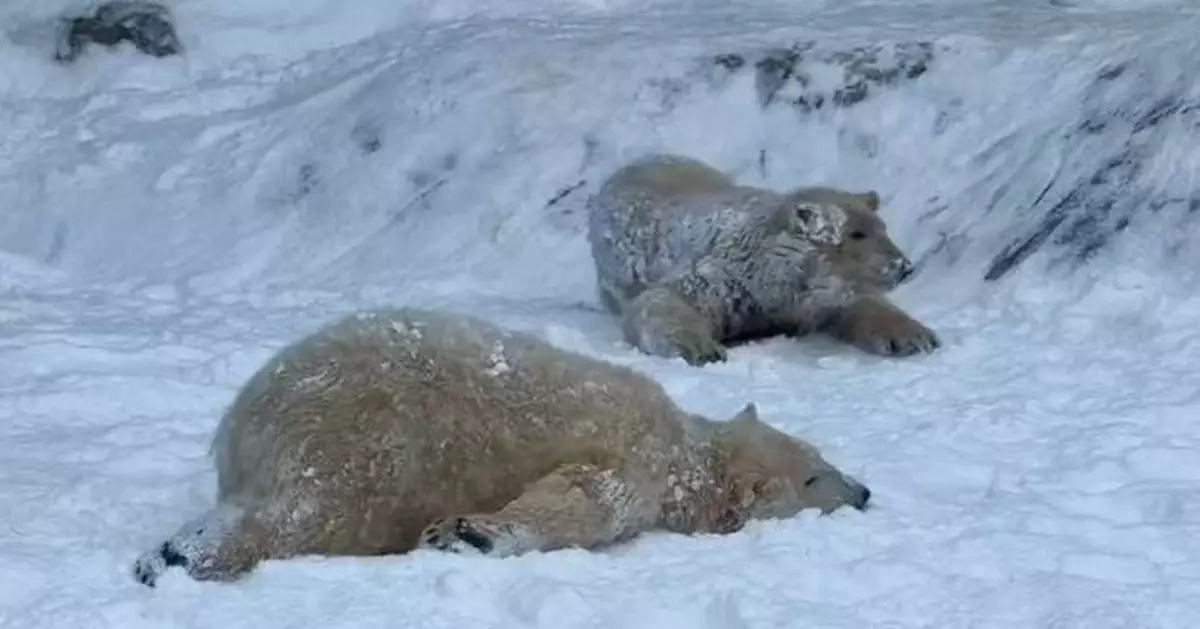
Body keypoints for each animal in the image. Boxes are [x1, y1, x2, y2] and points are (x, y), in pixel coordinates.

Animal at [132, 306, 871, 586]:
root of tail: (247, 414)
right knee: (312, 508)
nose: (865, 491)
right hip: (368, 436)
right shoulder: (642, 460)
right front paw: (468, 532)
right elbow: (586, 495)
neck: (690, 447)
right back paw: (188, 553)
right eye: (816, 475)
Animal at [586, 153, 940, 366]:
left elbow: (853, 301)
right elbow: (663, 300)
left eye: (881, 227)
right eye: (857, 234)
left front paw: (914, 337)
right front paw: (701, 348)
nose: (904, 267)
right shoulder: (726, 279)